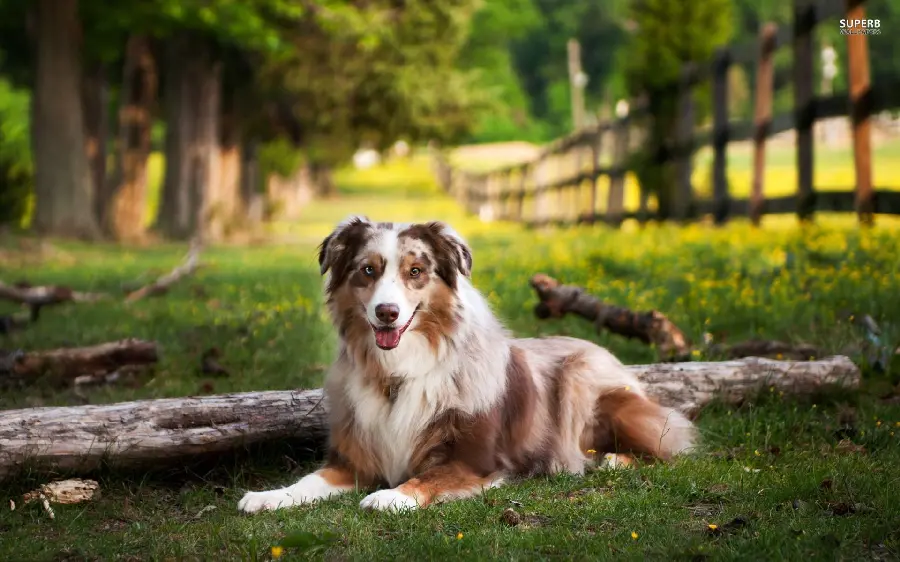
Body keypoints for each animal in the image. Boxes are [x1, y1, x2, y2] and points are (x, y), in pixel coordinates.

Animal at [239, 215, 696, 512]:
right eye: (368, 270)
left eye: (415, 271)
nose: (386, 312)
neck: (400, 373)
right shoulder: (355, 460)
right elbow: (307, 480)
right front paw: (268, 496)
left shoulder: (475, 461)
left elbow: (427, 478)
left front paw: (391, 495)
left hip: (586, 383)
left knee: (670, 444)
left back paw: (613, 460)